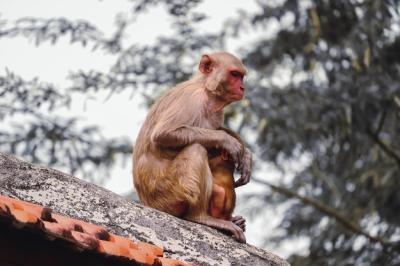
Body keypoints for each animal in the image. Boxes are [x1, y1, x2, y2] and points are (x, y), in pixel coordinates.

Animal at [133, 52, 252, 243]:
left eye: (241, 76)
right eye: (234, 74)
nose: (242, 87)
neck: (206, 90)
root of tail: (146, 202)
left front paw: (246, 154)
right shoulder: (192, 100)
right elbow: (163, 134)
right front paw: (229, 141)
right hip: (167, 196)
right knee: (196, 149)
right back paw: (200, 217)